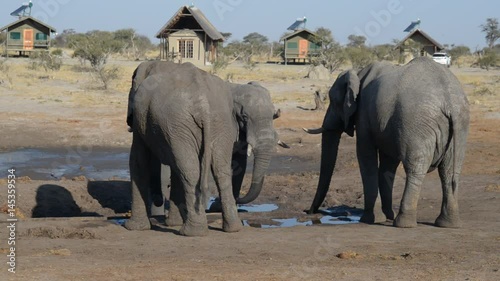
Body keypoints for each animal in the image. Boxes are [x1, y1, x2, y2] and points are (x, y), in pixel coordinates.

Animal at [125, 60, 282, 234]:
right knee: (213, 169)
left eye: (274, 116)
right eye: (245, 117)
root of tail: (203, 105)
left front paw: (135, 227)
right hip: (195, 123)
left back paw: (195, 230)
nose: (240, 198)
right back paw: (223, 227)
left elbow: (138, 160)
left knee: (191, 169)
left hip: (189, 122)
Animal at [304, 57, 468, 228]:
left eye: (332, 101)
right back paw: (448, 223)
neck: (358, 73)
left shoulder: (364, 114)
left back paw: (403, 223)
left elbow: (365, 156)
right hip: (459, 126)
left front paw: (370, 219)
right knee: (449, 171)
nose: (310, 212)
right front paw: (387, 216)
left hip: (417, 123)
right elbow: (388, 164)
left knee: (415, 168)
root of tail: (450, 102)